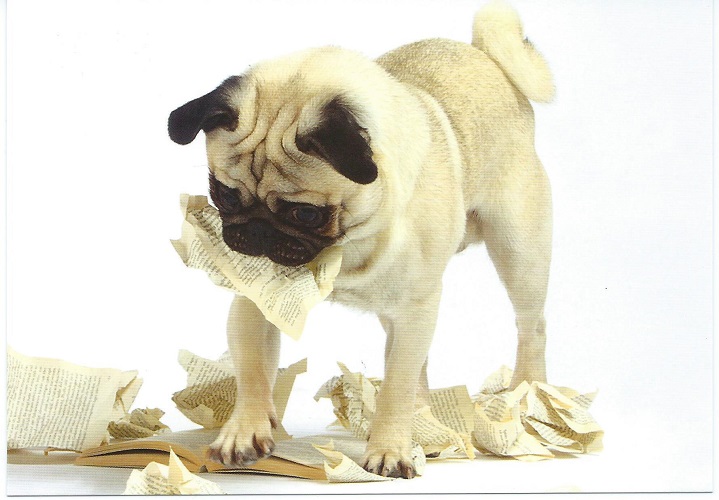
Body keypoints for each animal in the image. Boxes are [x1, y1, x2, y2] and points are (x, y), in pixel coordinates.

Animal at [168, 1, 554, 479]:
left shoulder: (416, 308)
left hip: (519, 251)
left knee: (530, 325)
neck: (345, 247)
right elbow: (253, 371)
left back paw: (528, 393)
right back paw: (427, 420)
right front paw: (246, 430)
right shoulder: (255, 303)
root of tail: (487, 56)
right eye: (223, 194)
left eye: (305, 213)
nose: (254, 230)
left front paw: (389, 448)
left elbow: (396, 389)